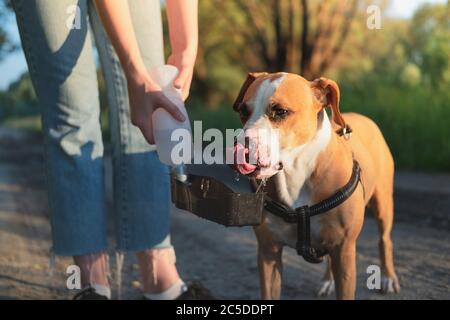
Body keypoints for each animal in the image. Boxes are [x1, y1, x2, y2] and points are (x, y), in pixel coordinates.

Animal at [232, 72, 400, 300]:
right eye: (243, 111)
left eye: (280, 111)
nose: (241, 146)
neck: (294, 174)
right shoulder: (268, 252)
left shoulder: (345, 250)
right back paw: (328, 281)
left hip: (383, 203)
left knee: (385, 240)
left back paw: (388, 277)